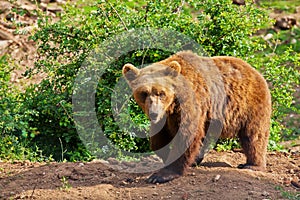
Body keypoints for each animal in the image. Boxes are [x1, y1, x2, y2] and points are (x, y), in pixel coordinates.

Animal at [122, 50, 272, 184]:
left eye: (161, 93)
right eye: (144, 93)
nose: (154, 113)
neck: (172, 105)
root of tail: (255, 71)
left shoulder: (191, 102)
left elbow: (187, 134)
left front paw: (161, 175)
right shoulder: (166, 117)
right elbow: (158, 139)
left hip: (249, 105)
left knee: (254, 136)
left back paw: (252, 165)